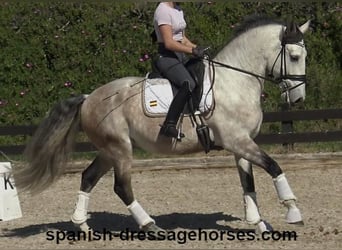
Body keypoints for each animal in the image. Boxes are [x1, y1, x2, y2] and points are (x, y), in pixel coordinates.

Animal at [14, 16, 312, 233]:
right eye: (295, 56)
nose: (298, 98)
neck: (235, 82)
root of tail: (89, 98)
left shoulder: (241, 144)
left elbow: (248, 184)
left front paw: (258, 223)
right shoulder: (238, 141)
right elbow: (274, 167)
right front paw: (293, 211)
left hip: (109, 150)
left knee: (88, 177)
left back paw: (82, 224)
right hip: (120, 149)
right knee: (121, 187)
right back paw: (149, 225)